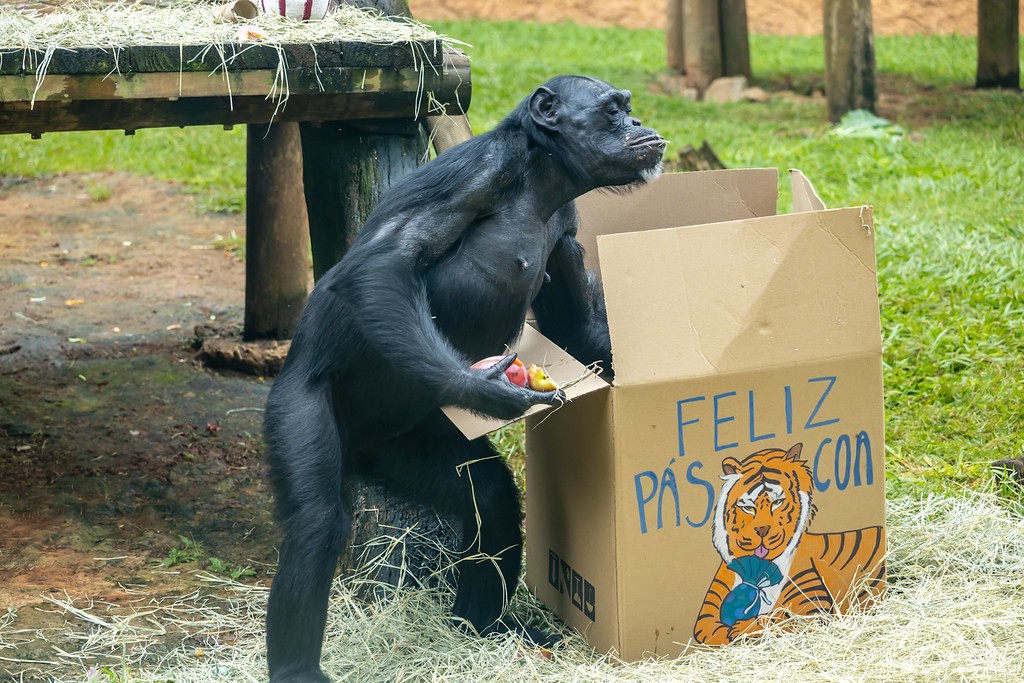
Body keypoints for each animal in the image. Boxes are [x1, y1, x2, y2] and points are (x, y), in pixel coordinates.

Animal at [692, 442, 886, 646]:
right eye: (748, 508)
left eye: (777, 502)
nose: (762, 530)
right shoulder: (707, 613)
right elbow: (710, 630)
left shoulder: (812, 607)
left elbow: (777, 617)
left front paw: (740, 629)